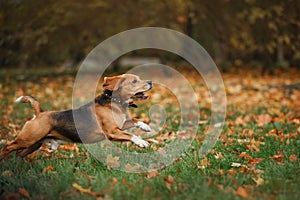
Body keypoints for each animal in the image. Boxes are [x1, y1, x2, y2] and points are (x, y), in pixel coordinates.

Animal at [0, 74, 152, 160]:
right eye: (134, 81)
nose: (150, 82)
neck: (114, 102)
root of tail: (39, 113)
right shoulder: (112, 132)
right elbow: (130, 135)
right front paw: (141, 141)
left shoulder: (119, 126)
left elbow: (134, 120)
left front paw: (145, 126)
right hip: (27, 140)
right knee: (7, 147)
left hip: (34, 144)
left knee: (19, 154)